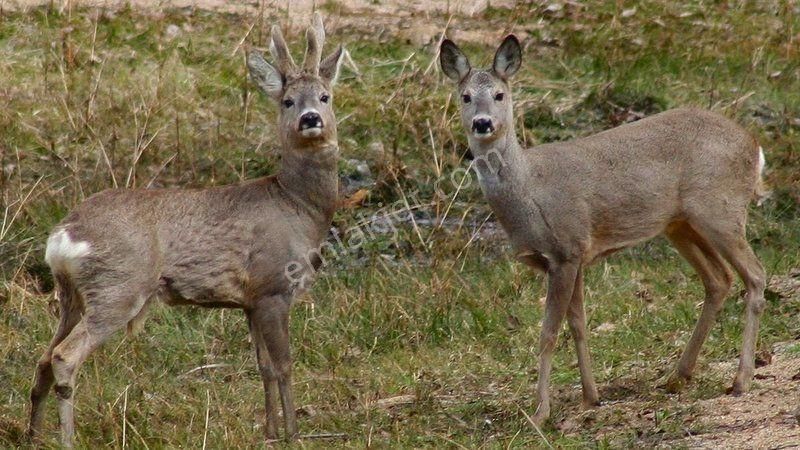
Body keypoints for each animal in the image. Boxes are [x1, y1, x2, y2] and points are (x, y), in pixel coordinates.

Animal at [28, 12, 344, 444]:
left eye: (325, 96)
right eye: (287, 100)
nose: (310, 119)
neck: (296, 206)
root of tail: (63, 236)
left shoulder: (250, 300)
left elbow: (262, 367)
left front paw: (269, 431)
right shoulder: (273, 287)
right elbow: (284, 365)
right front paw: (293, 435)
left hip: (71, 295)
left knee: (43, 357)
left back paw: (31, 436)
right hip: (117, 286)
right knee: (64, 356)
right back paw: (67, 440)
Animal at [440, 34, 764, 422]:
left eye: (500, 94)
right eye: (465, 96)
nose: (483, 123)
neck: (529, 190)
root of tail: (754, 146)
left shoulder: (565, 249)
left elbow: (549, 332)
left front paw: (541, 411)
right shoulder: (576, 255)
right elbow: (578, 324)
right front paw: (590, 397)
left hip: (721, 209)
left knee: (755, 275)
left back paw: (741, 380)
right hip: (681, 224)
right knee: (719, 279)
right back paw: (677, 376)